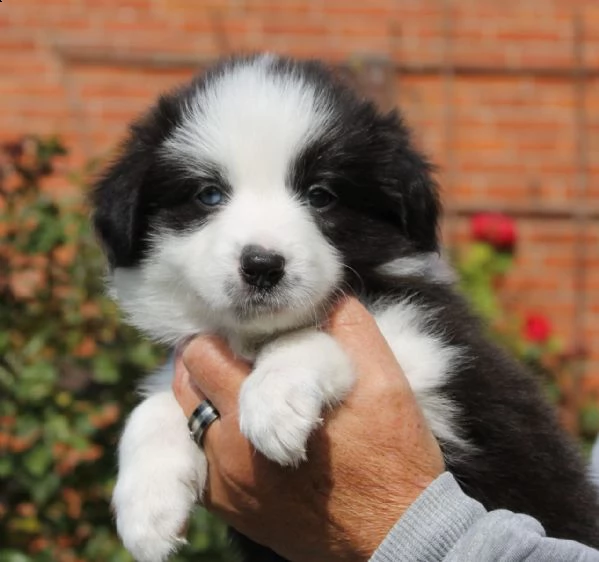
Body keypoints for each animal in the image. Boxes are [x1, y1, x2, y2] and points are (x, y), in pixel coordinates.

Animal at [91, 53, 599, 560]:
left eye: (321, 195)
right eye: (208, 194)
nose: (262, 265)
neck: (252, 337)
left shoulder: (431, 347)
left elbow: (309, 335)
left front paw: (274, 400)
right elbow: (152, 403)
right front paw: (147, 506)